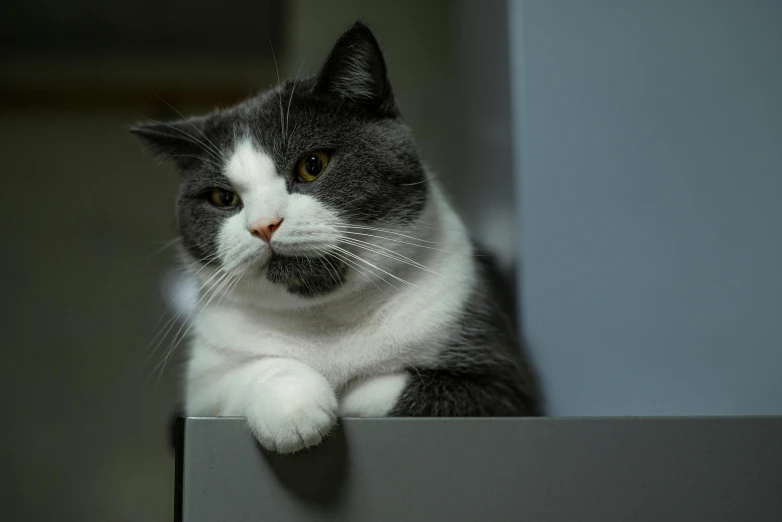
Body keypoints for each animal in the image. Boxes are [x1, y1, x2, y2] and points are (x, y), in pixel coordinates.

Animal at [132, 22, 544, 450]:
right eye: (222, 198)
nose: (264, 225)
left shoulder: (506, 387)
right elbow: (248, 373)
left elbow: (393, 390)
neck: (325, 319)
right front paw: (293, 409)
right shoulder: (204, 391)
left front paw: (343, 396)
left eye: (313, 165)